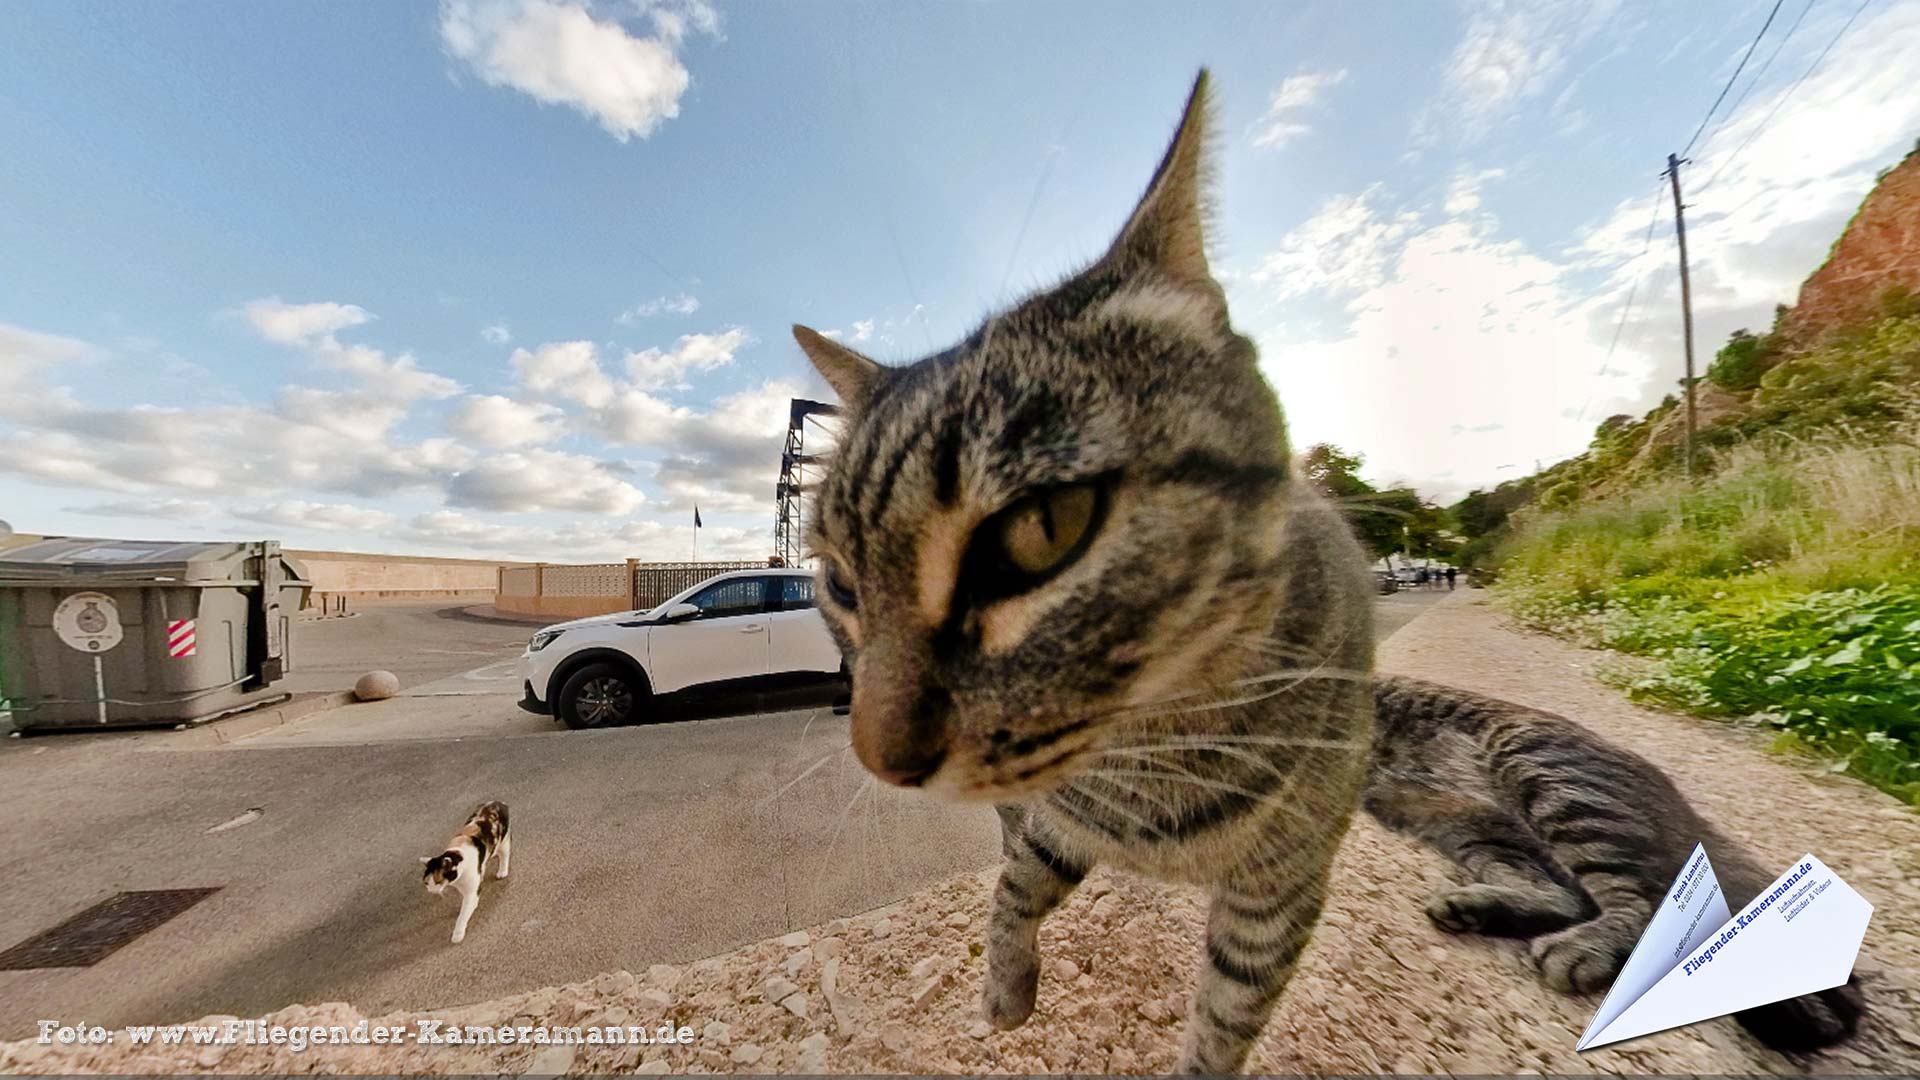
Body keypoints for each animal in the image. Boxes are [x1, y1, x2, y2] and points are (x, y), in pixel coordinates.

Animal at [418, 799, 510, 941]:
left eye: (437, 882)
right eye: (426, 883)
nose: (430, 891)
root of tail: (498, 802)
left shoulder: (471, 892)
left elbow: (464, 913)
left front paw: (457, 933)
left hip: (503, 841)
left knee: (504, 854)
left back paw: (502, 872)